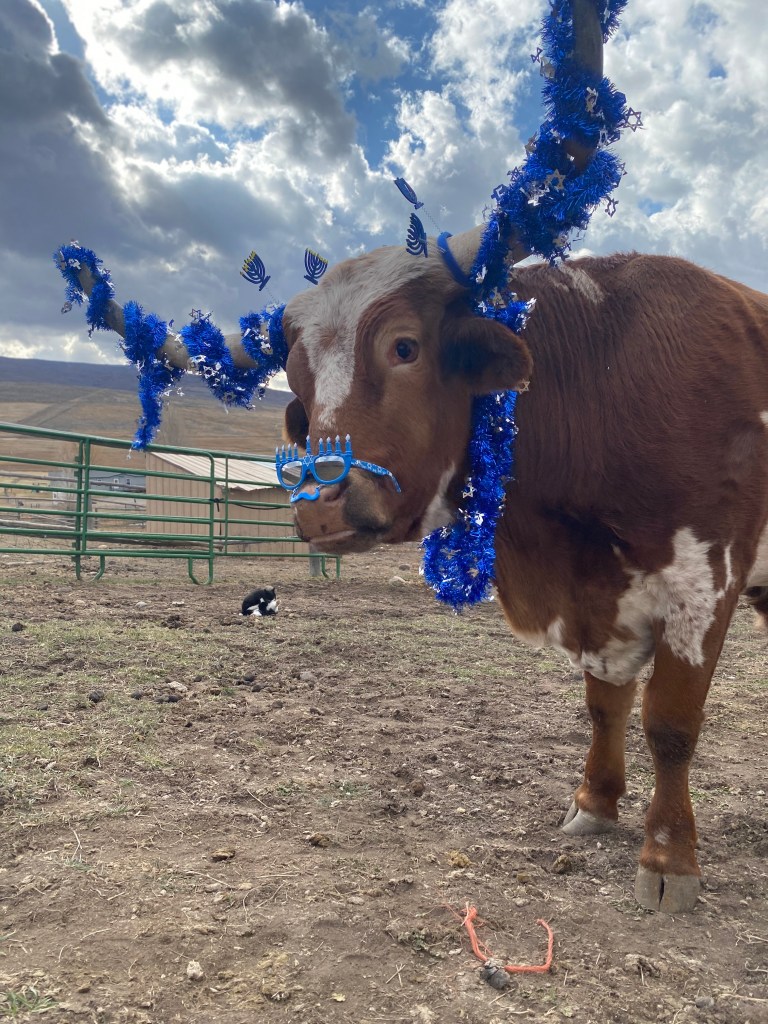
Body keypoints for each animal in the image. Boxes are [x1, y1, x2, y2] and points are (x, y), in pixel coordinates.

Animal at [56, 0, 768, 913]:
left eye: (403, 347)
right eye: (296, 376)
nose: (321, 502)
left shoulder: (702, 581)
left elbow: (669, 722)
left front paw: (669, 859)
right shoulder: (599, 598)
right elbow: (603, 704)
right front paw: (593, 804)